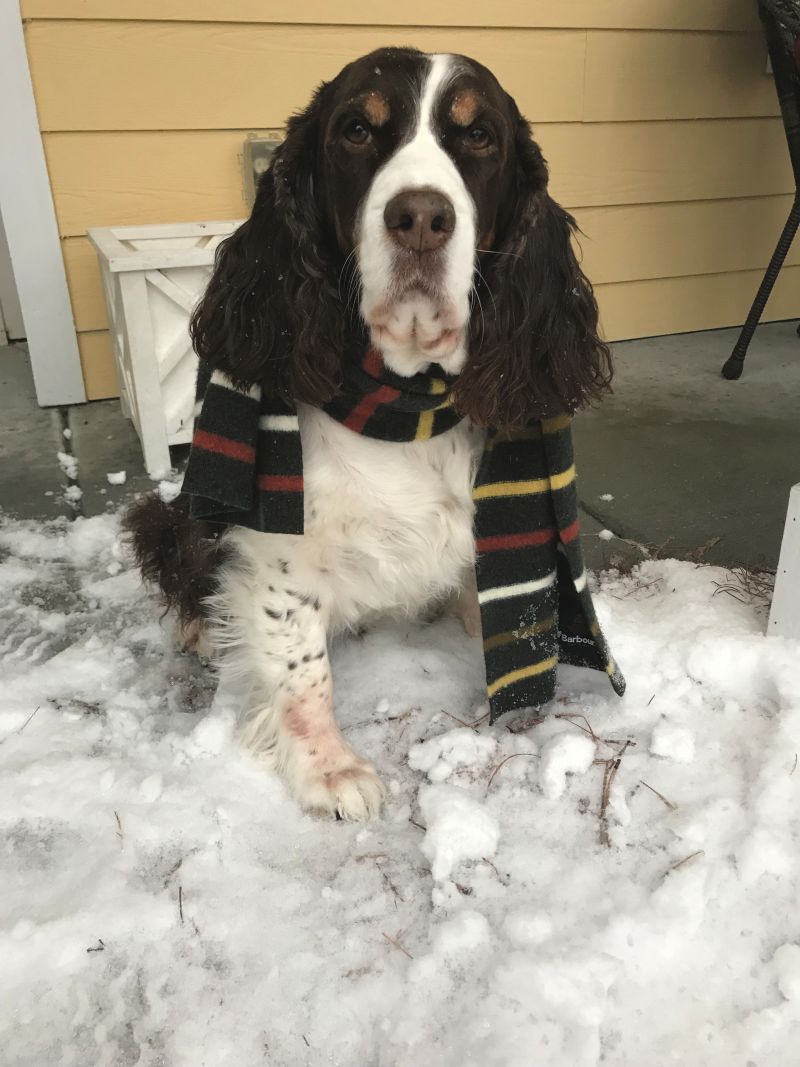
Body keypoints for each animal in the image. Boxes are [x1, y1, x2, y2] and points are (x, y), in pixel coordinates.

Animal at [126, 45, 614, 819]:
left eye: (481, 136)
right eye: (356, 129)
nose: (419, 217)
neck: (406, 401)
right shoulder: (281, 554)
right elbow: (301, 669)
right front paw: (328, 769)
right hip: (182, 508)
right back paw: (199, 628)